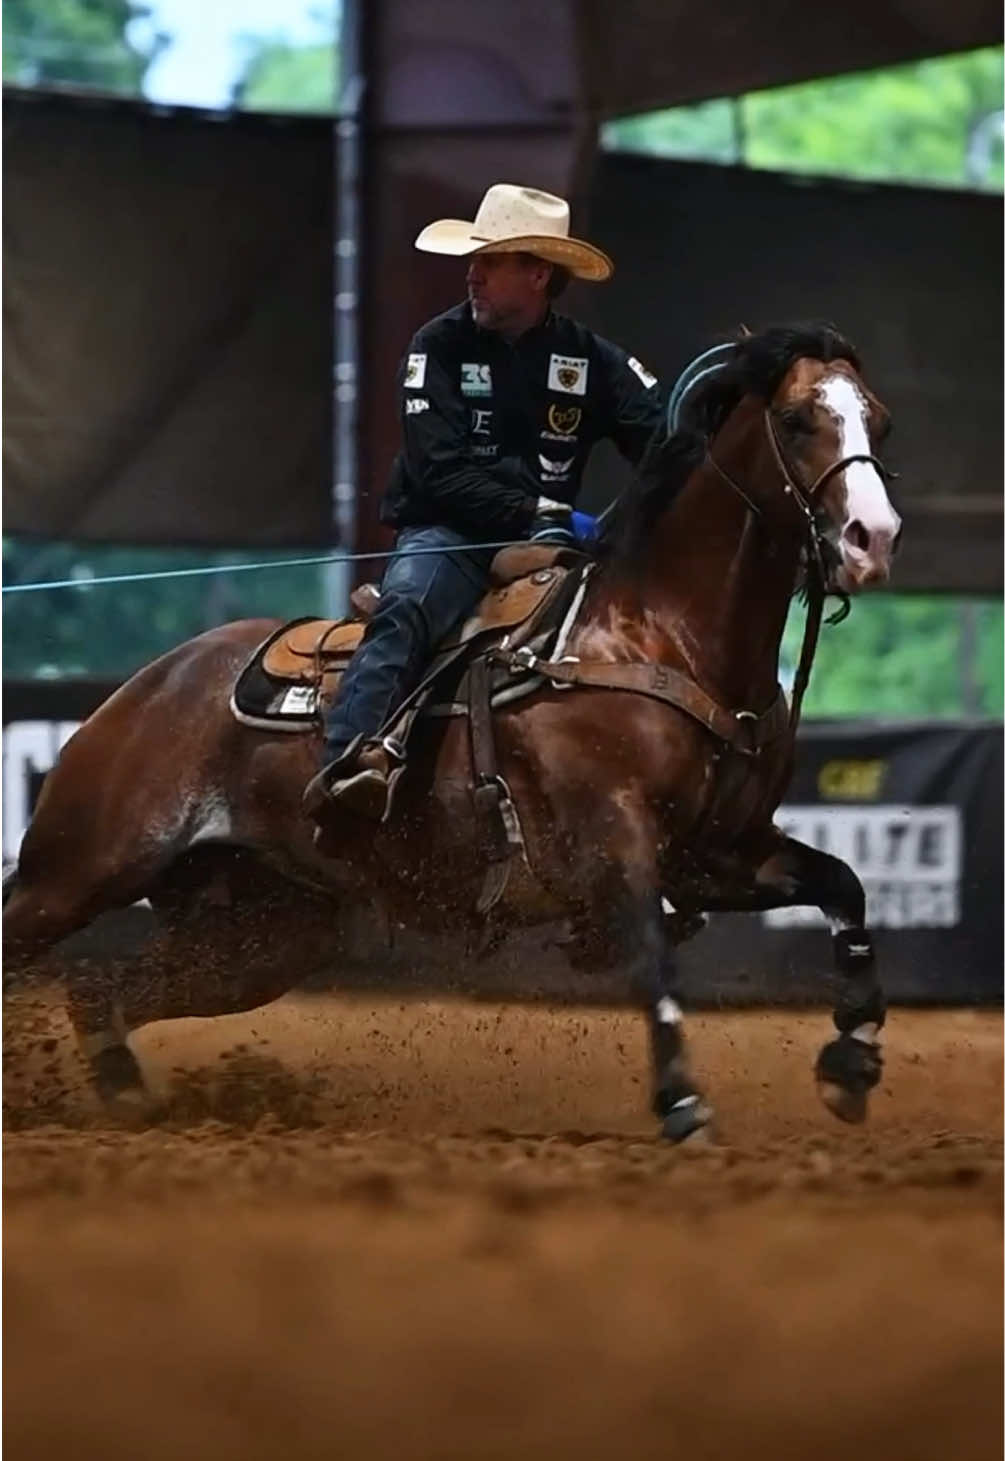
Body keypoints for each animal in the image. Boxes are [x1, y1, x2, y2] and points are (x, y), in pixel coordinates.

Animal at [4, 323, 902, 1141]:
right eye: (795, 418)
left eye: (878, 420)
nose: (874, 539)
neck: (656, 635)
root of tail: (137, 694)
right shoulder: (610, 841)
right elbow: (653, 949)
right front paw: (681, 1101)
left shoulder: (717, 853)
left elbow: (843, 887)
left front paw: (852, 1060)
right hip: (78, 871)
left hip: (261, 933)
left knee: (101, 990)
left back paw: (125, 1093)